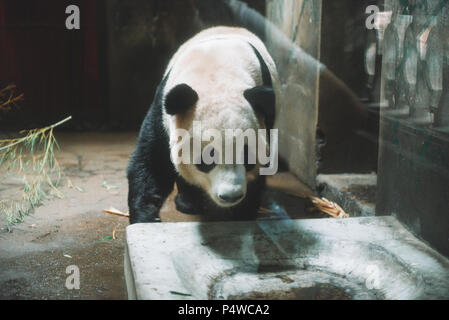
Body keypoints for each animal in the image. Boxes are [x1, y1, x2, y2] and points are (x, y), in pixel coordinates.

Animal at [126, 26, 278, 224]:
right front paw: (146, 218)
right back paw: (188, 202)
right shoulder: (163, 112)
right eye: (208, 158)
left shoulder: (264, 121)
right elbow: (152, 162)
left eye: (247, 156)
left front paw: (243, 213)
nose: (230, 196)